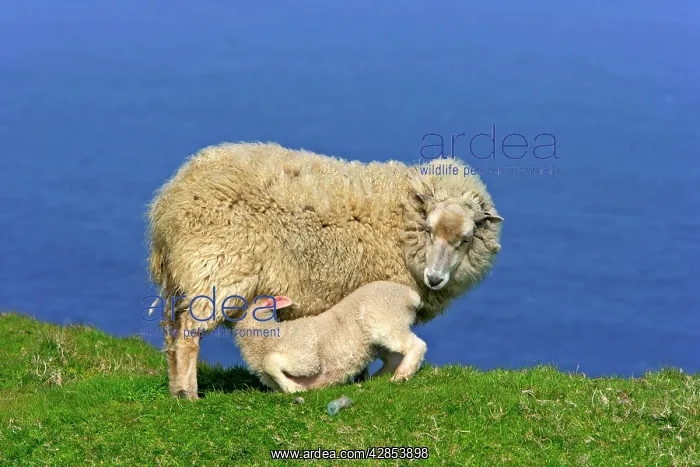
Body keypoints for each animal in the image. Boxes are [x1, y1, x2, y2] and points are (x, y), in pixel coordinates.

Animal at [235, 281, 427, 393]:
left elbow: (270, 362)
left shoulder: (305, 356)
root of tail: (410, 295)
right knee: (393, 357)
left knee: (416, 345)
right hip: (379, 338)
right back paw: (379, 377)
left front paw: (294, 388)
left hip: (386, 321)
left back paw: (401, 375)